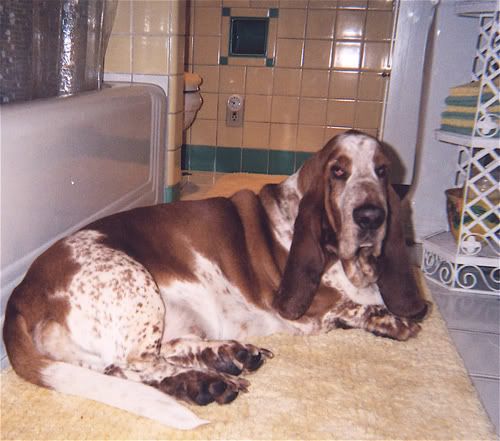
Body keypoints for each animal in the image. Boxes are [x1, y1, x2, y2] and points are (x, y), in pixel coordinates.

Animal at [2, 129, 426, 428]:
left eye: (382, 170)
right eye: (338, 172)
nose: (370, 217)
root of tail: (22, 293)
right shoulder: (310, 309)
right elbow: (353, 306)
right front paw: (395, 321)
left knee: (134, 363)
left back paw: (224, 359)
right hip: (137, 284)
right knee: (135, 363)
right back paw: (210, 378)